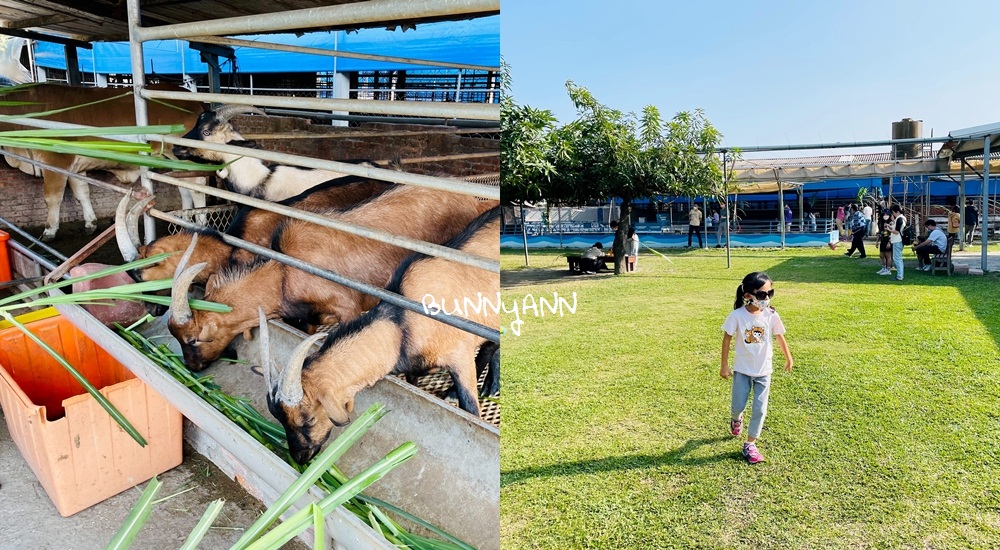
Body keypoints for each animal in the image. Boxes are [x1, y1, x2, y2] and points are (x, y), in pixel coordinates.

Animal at [0, 81, 206, 239]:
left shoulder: (55, 161)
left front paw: (49, 230)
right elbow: (82, 193)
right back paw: (184, 223)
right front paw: (90, 223)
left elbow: (52, 197)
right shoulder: (75, 167)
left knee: (197, 188)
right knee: (184, 188)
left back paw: (201, 224)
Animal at [173, 184, 504, 370]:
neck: (283, 273)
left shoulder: (347, 306)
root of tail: (474, 201)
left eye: (193, 339)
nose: (192, 368)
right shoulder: (308, 315)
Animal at [264, 207, 500, 466]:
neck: (399, 323)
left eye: (308, 421)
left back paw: (486, 388)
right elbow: (413, 380)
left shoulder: (459, 354)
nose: (300, 457)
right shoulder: (414, 365)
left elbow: (470, 408)